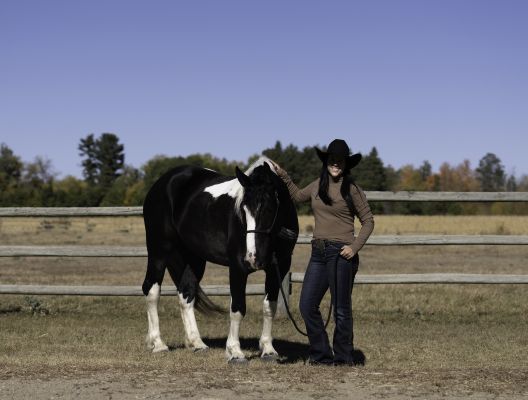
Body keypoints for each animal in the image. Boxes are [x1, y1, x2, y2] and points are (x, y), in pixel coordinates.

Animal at [140, 156, 296, 362]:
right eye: (243, 209)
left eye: (270, 209)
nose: (252, 257)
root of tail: (162, 183)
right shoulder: (238, 267)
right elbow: (237, 308)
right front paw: (235, 352)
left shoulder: (278, 267)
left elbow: (269, 306)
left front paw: (268, 349)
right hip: (159, 249)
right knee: (151, 289)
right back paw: (158, 344)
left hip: (193, 258)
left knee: (186, 294)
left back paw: (197, 344)